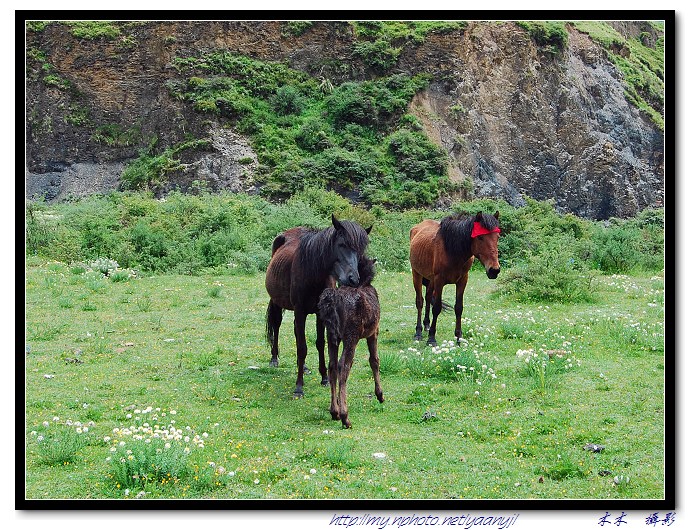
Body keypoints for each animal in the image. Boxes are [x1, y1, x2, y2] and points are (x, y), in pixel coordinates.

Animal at [264, 214, 370, 396]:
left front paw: (325, 378)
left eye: (361, 249)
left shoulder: (321, 313)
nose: (353, 279)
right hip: (278, 302)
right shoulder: (300, 311)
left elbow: (320, 343)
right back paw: (274, 359)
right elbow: (302, 347)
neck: (312, 273)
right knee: (276, 325)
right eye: (342, 244)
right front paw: (299, 387)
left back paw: (304, 367)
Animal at [318, 254, 382, 426]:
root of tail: (332, 300)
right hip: (350, 337)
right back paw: (345, 416)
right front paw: (380, 394)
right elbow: (374, 360)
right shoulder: (373, 332)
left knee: (332, 366)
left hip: (331, 336)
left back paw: (334, 411)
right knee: (343, 366)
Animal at [408, 210, 500, 346]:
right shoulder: (439, 281)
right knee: (420, 301)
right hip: (417, 274)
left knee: (428, 297)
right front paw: (431, 339)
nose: (494, 270)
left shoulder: (462, 281)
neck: (452, 251)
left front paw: (459, 338)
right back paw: (418, 332)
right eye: (480, 237)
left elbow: (459, 308)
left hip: (431, 279)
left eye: (497, 237)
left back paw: (427, 325)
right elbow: (437, 308)